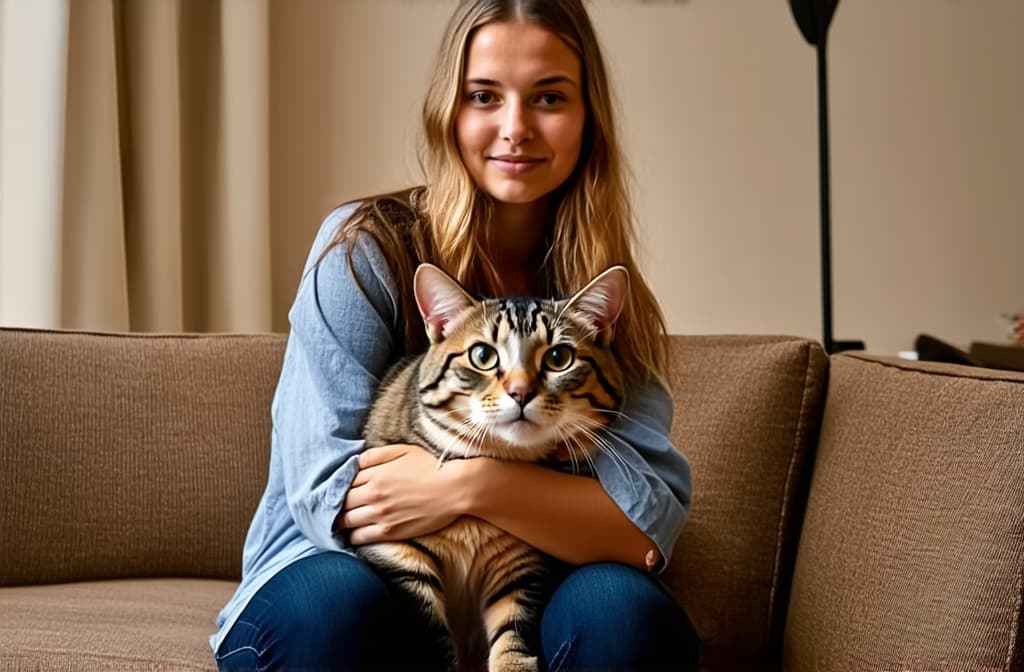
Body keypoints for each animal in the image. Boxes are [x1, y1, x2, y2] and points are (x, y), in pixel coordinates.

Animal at [360, 264, 630, 672]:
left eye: (559, 357)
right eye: (483, 355)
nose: (520, 392)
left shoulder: (523, 567)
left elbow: (512, 638)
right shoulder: (397, 551)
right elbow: (431, 638)